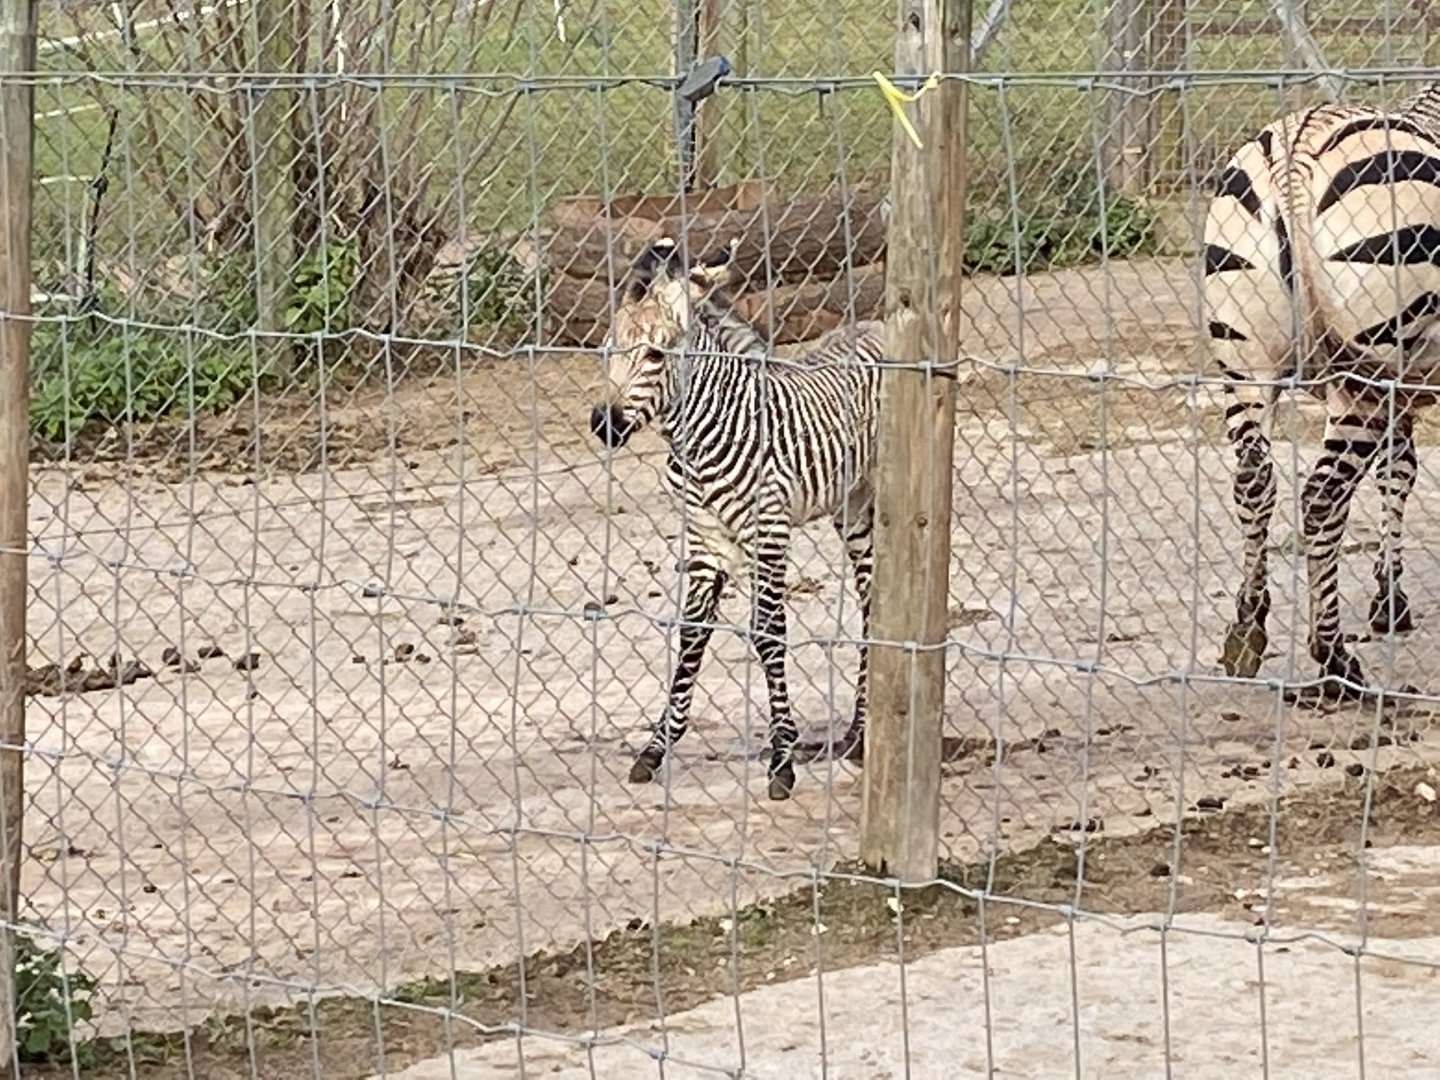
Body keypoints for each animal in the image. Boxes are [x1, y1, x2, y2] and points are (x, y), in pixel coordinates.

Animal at [588, 236, 887, 800]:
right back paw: (858, 733)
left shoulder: (767, 532)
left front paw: (782, 762)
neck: (703, 436)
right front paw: (655, 749)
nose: (604, 425)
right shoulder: (706, 541)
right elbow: (690, 636)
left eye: (655, 354)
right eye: (607, 352)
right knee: (872, 597)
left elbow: (768, 633)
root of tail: (875, 323)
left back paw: (863, 735)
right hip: (850, 506)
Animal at [1203, 81, 1440, 698]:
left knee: (1253, 481)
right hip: (1368, 372)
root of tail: (1296, 155)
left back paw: (1247, 628)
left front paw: (1389, 596)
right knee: (1322, 496)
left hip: (1246, 363)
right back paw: (1333, 659)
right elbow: (1401, 474)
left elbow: (1398, 472)